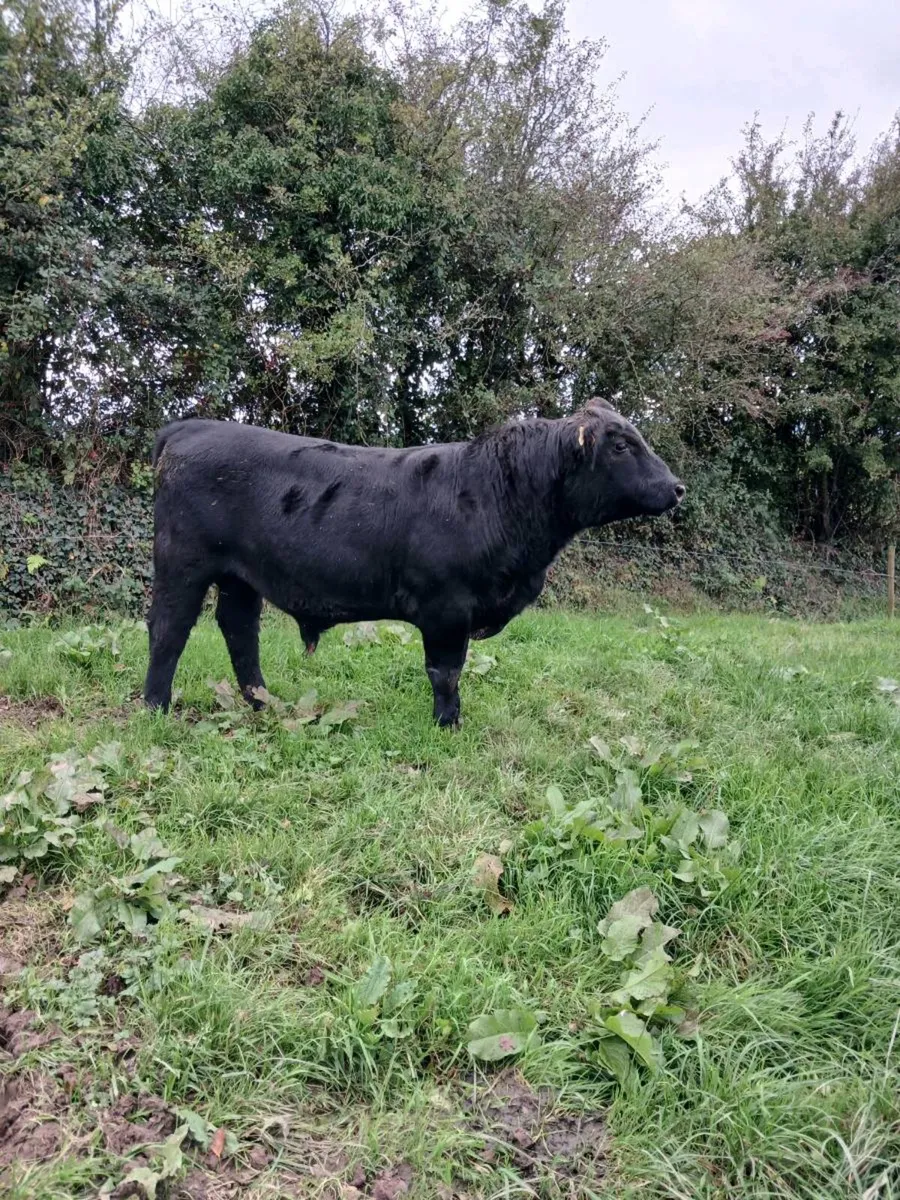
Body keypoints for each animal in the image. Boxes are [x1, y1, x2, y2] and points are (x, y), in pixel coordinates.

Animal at [144, 399, 685, 727]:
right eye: (622, 445)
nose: (677, 487)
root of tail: (189, 425)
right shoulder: (446, 607)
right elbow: (445, 671)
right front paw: (448, 724)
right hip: (182, 562)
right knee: (169, 629)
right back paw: (155, 708)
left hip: (240, 575)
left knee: (239, 628)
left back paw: (261, 702)